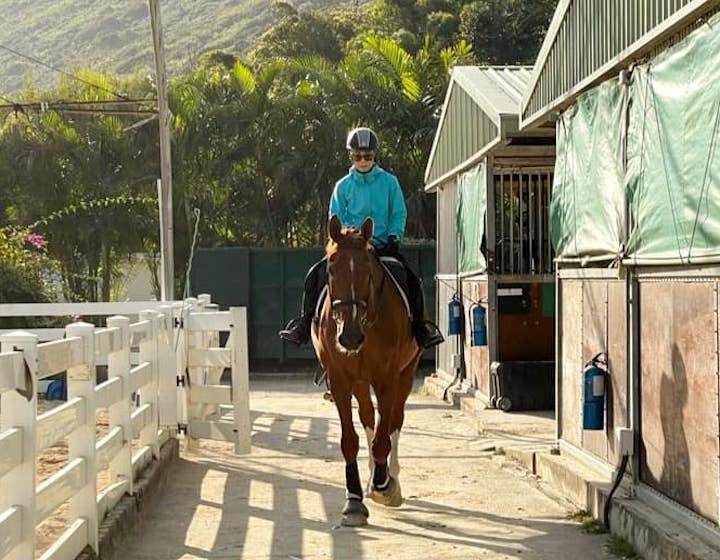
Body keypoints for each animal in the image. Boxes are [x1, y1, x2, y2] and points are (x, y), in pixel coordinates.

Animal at [310, 213, 422, 524]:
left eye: (368, 272)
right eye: (331, 269)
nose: (349, 337)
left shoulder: (387, 379)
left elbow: (384, 438)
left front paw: (384, 485)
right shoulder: (340, 380)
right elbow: (350, 439)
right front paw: (354, 500)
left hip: (405, 375)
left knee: (394, 420)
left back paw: (389, 480)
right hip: (360, 383)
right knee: (369, 417)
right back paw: (373, 476)